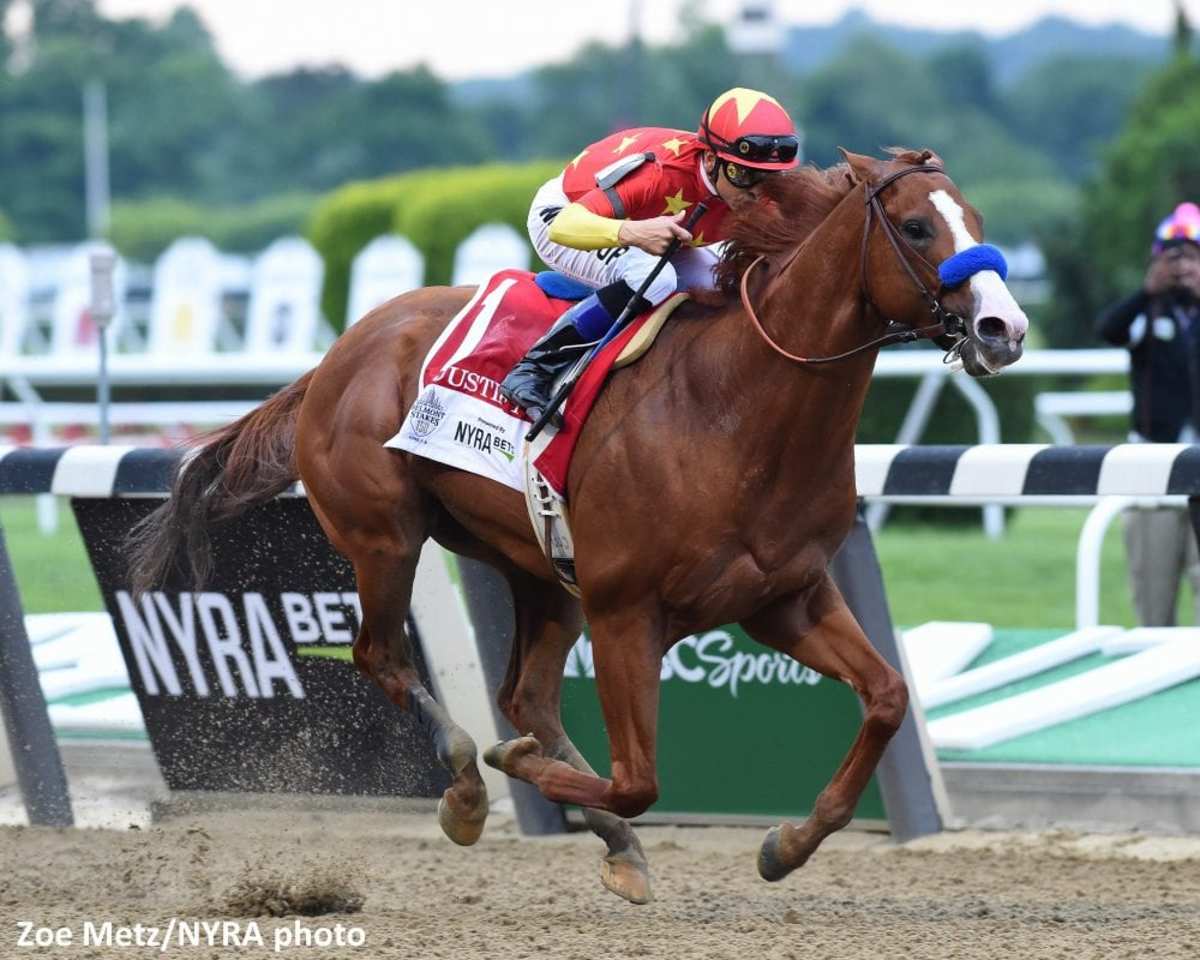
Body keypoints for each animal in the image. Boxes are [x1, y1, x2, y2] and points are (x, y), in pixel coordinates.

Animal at [133, 151, 1032, 907]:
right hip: (386, 538)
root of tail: (338, 353)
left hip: (538, 569)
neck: (734, 407)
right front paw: (509, 767)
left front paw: (788, 843)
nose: (1004, 329)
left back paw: (603, 834)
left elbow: (885, 697)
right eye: (916, 227)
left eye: (978, 220)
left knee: (525, 694)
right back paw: (468, 783)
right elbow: (638, 779)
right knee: (382, 656)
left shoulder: (786, 598)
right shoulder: (627, 612)